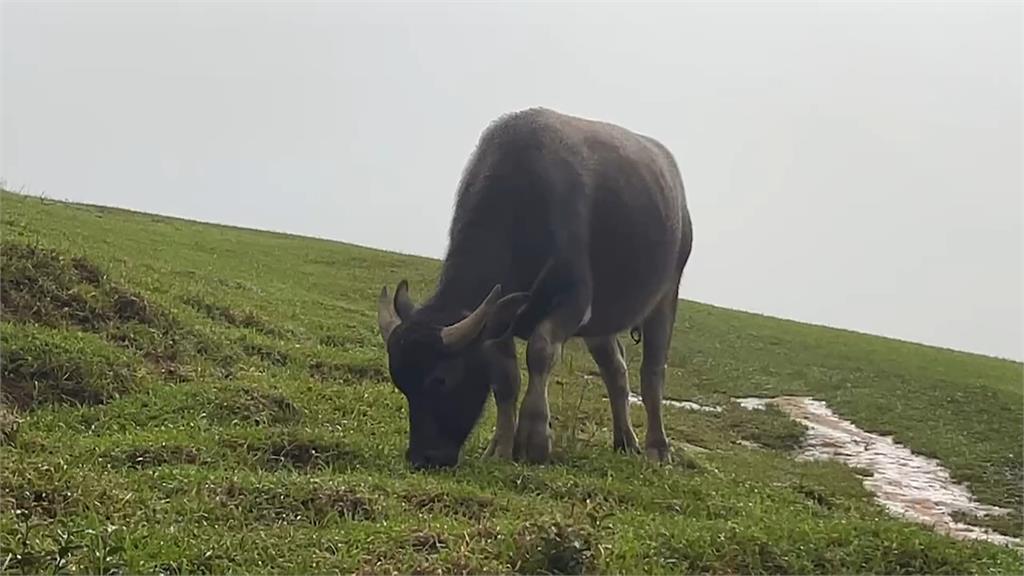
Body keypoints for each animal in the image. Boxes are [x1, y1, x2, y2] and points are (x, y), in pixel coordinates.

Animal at [376, 106, 696, 467]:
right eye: (402, 383)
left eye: (440, 379)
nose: (423, 456)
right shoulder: (496, 322)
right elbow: (505, 379)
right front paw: (500, 447)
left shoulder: (573, 303)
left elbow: (540, 350)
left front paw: (534, 438)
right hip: (602, 322)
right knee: (615, 368)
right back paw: (625, 440)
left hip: (666, 294)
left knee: (652, 372)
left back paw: (657, 448)